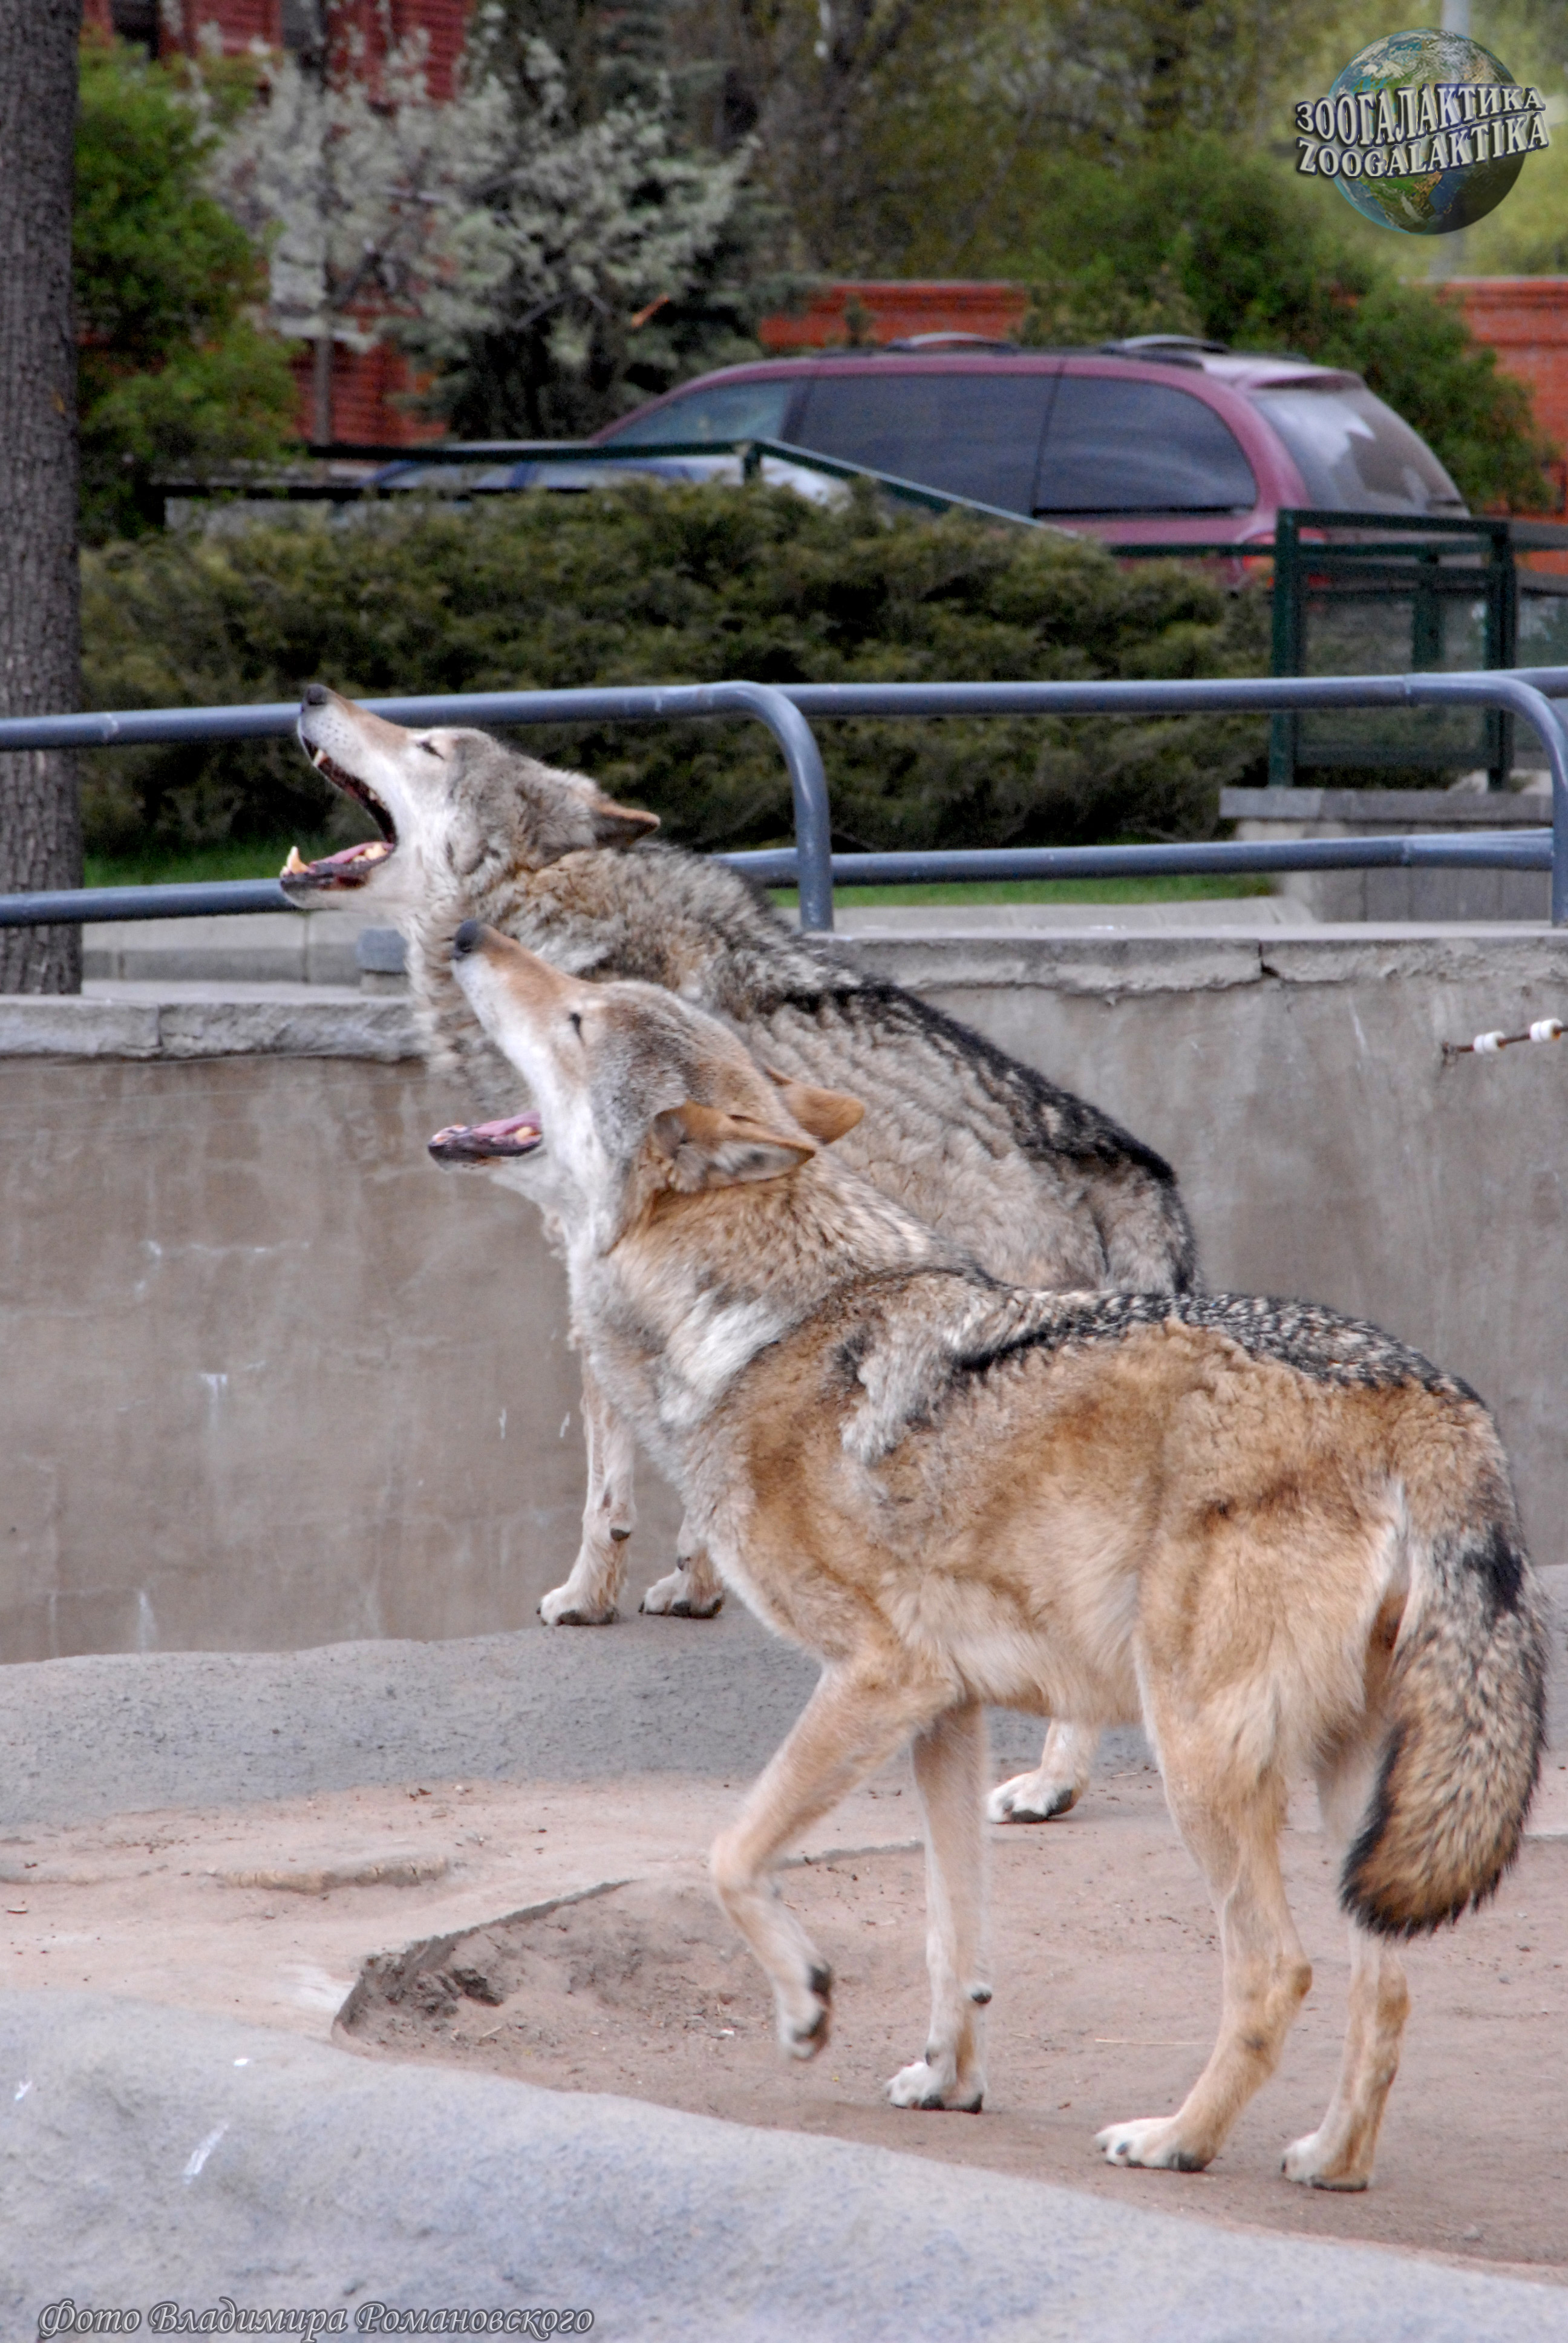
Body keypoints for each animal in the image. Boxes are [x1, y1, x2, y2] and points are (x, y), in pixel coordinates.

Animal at [283, 683, 1199, 1826]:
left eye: (430, 747)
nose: (313, 692)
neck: (554, 912)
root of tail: (1128, 1169)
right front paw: (697, 1578)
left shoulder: (600, 1268)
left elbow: (609, 1473)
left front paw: (589, 1596)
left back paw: (1048, 1783)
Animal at [426, 921, 1547, 2190]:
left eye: (580, 1013)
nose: (465, 933)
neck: (756, 1327)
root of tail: (1429, 1396)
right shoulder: (944, 1713)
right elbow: (948, 1929)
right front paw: (946, 2080)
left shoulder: (875, 1679)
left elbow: (729, 1853)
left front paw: (804, 2004)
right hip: (1347, 1796)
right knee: (1386, 1985)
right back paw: (1327, 2159)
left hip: (1197, 1760)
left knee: (1277, 1969)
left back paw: (1175, 2138)